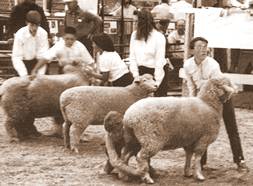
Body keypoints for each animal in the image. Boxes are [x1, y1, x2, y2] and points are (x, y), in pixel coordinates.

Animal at [107, 76, 236, 183]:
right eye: (227, 83)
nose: (236, 90)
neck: (209, 104)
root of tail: (129, 116)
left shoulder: (190, 139)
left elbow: (189, 155)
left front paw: (187, 172)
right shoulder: (203, 139)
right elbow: (198, 158)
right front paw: (199, 175)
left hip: (133, 139)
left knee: (124, 155)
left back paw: (123, 175)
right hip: (150, 139)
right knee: (141, 157)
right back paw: (146, 178)